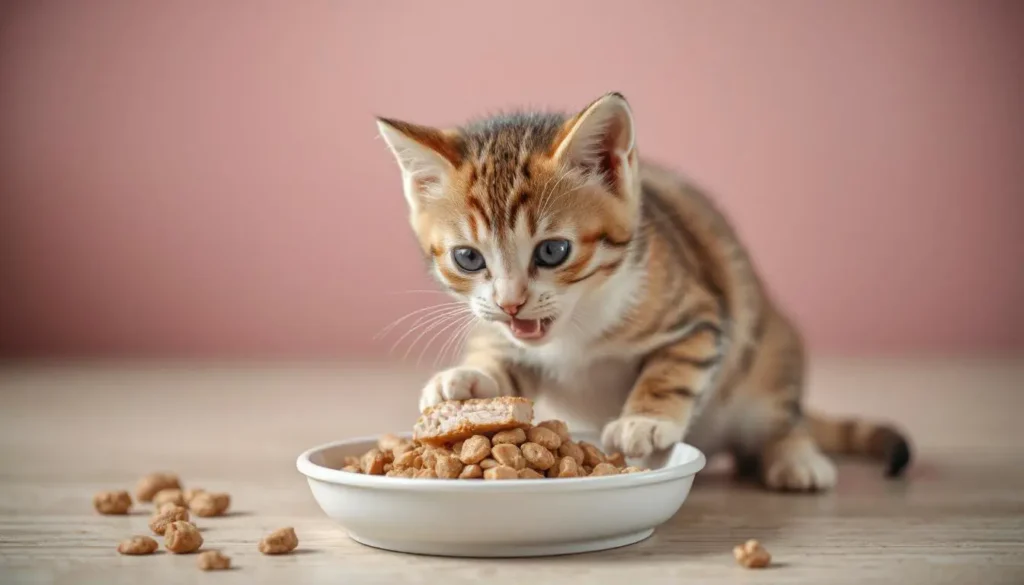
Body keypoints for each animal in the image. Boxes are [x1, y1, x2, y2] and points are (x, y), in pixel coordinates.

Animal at [378, 93, 913, 491]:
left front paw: (644, 421)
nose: (511, 303)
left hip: (772, 355)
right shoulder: (509, 334)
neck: (575, 330)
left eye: (552, 251)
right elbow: (503, 358)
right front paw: (467, 381)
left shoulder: (701, 314)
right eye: (468, 258)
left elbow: (674, 367)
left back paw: (796, 459)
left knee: (783, 419)